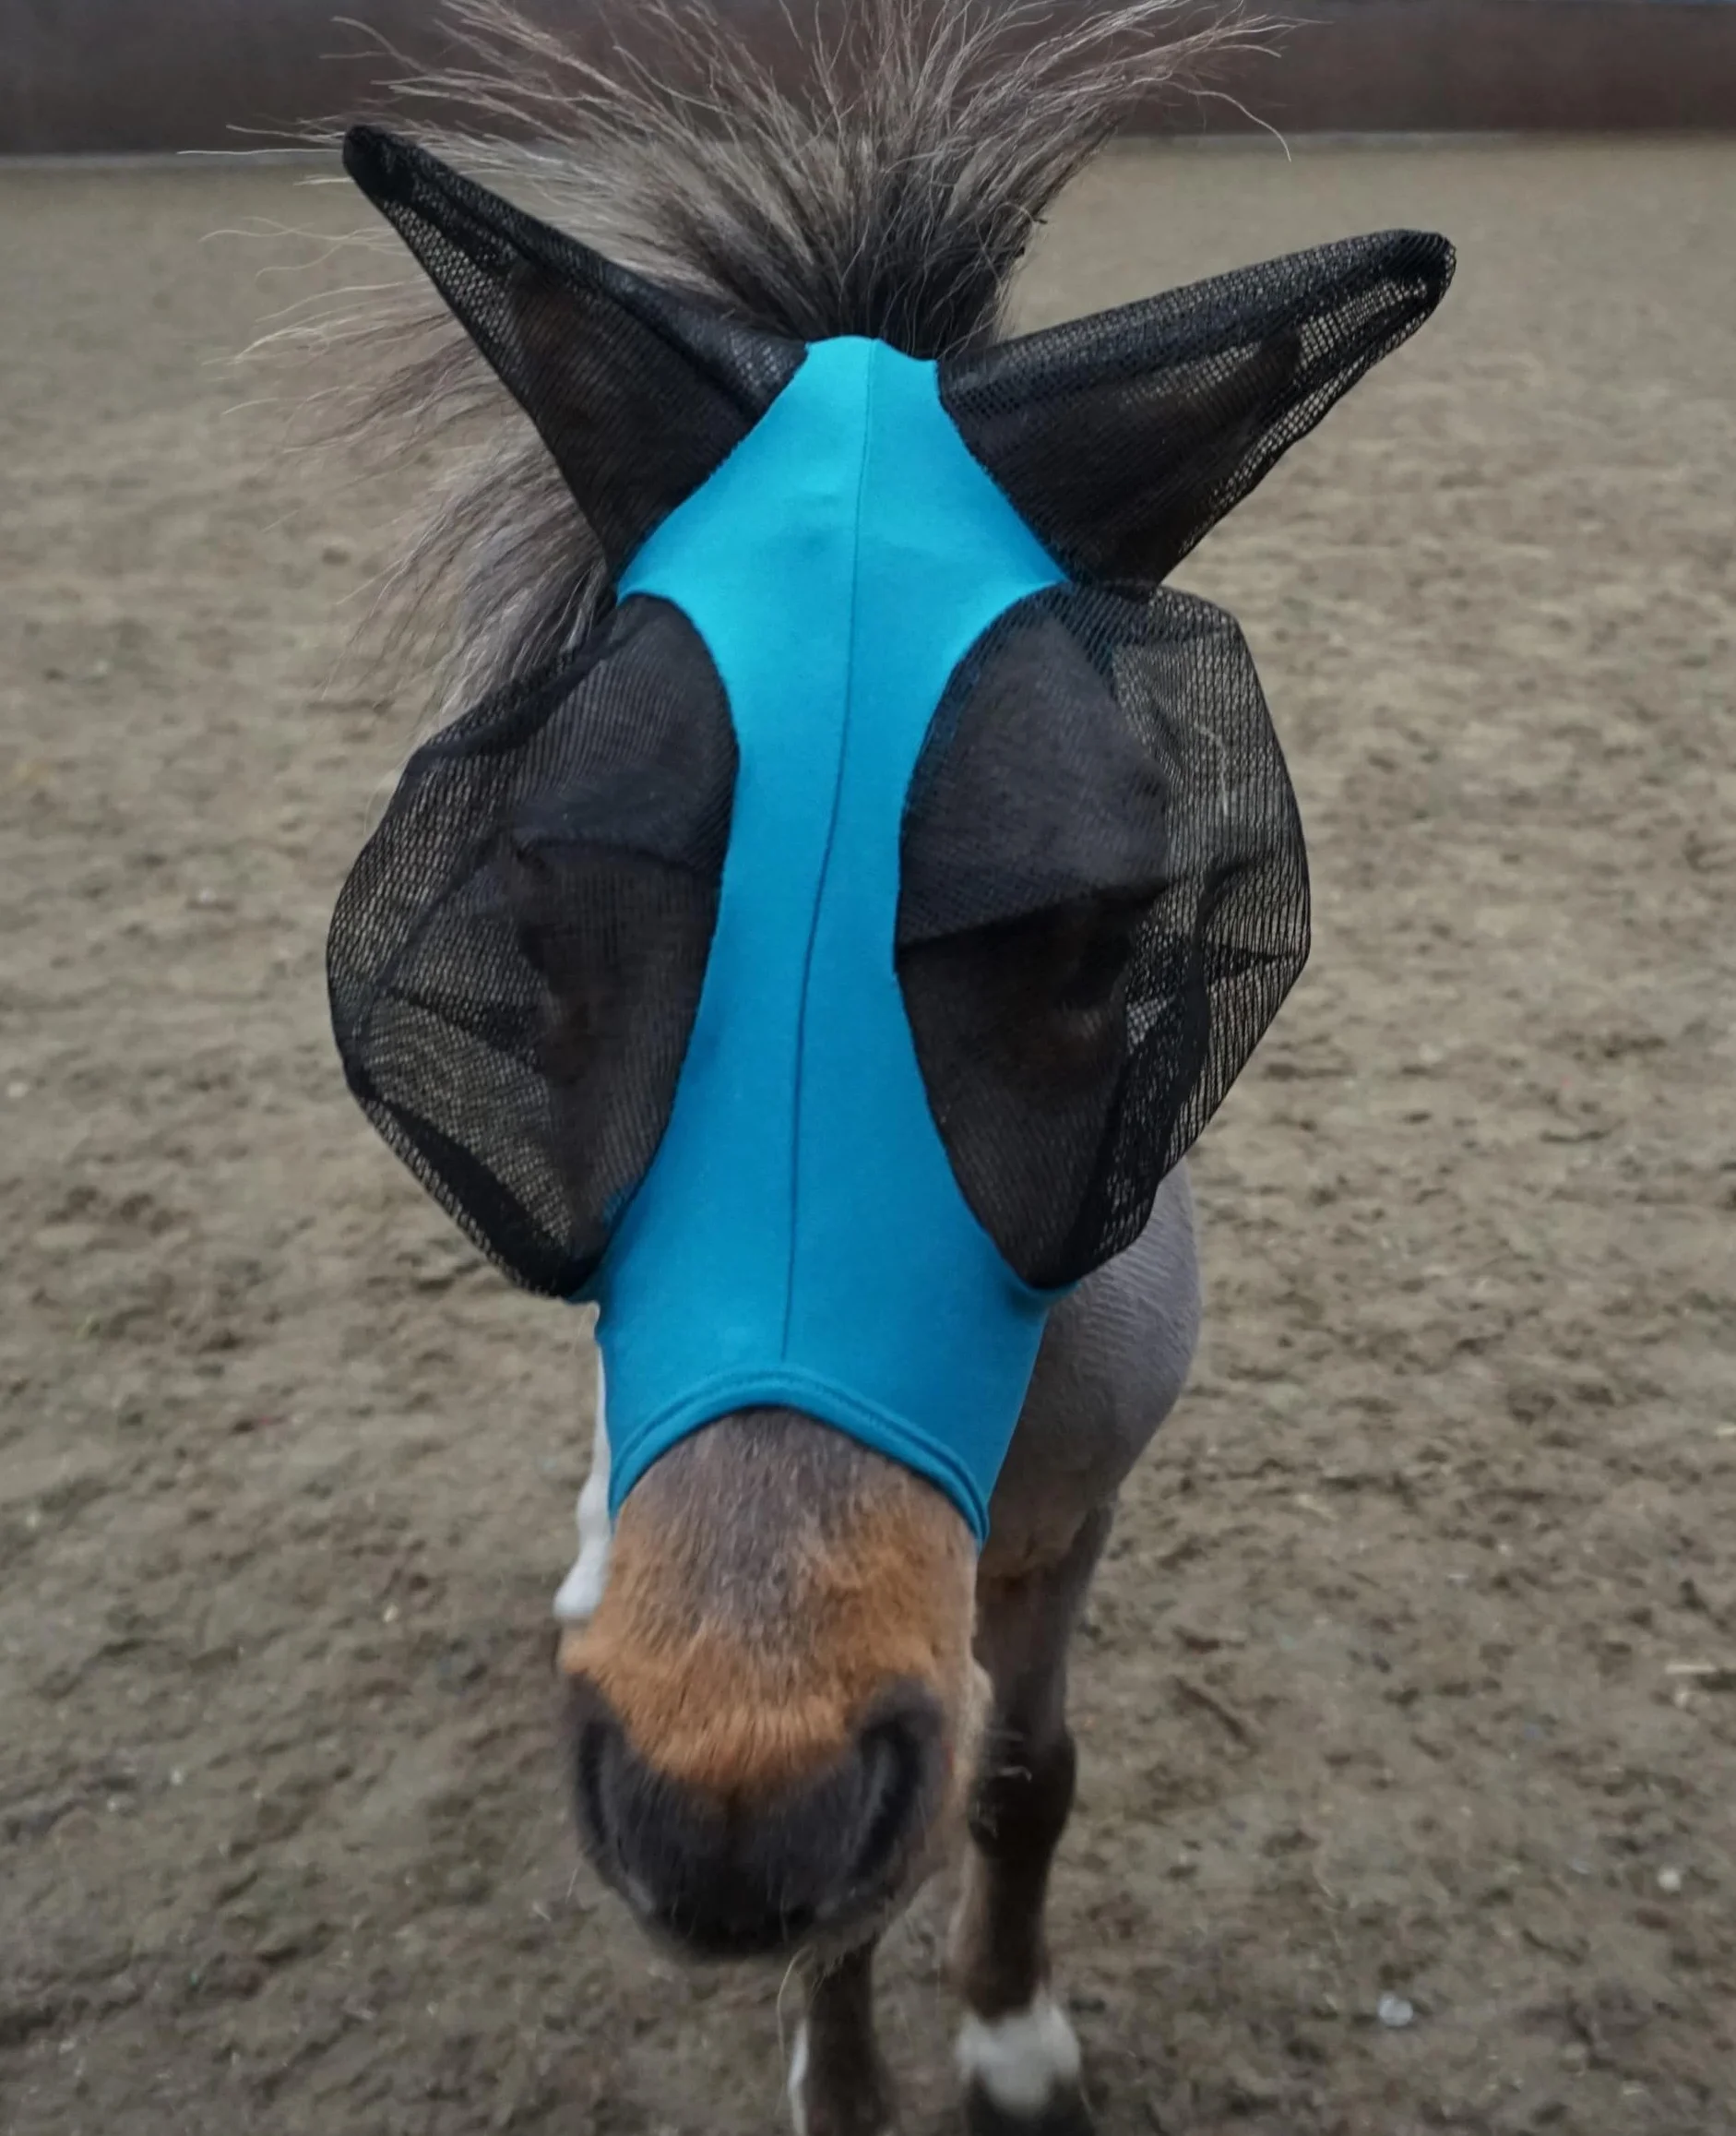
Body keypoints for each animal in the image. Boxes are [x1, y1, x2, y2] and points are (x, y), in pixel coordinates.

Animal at [306, 6, 1452, 2130]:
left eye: (1099, 938)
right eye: (531, 922)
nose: (719, 1809)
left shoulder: (1076, 1523)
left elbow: (1022, 1768)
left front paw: (1005, 2031)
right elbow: (843, 1915)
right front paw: (844, 2081)